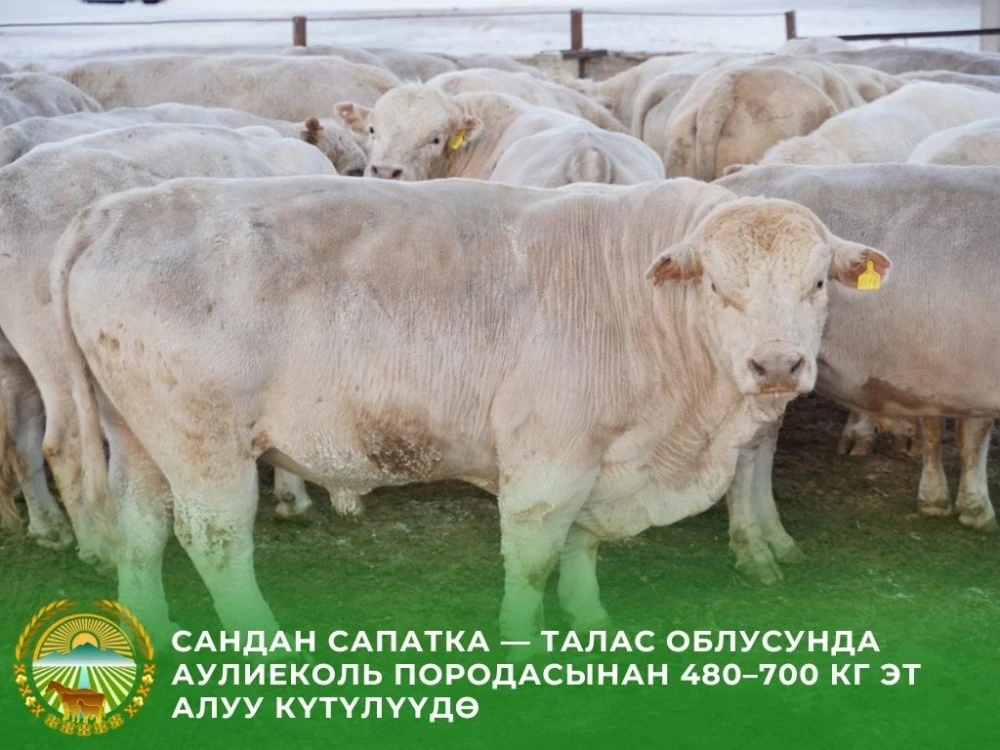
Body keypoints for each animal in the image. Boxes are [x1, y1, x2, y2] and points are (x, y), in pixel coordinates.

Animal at [0, 124, 337, 565]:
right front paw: (293, 497)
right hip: (56, 354)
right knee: (63, 446)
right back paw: (95, 545)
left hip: (16, 362)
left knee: (21, 437)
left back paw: (47, 526)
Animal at [54, 175, 889, 643]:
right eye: (719, 285)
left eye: (818, 282)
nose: (777, 365)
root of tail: (112, 210)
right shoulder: (549, 457)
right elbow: (536, 554)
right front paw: (524, 636)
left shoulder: (598, 459)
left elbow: (582, 543)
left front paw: (589, 618)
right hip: (204, 443)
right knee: (215, 539)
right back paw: (264, 640)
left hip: (138, 435)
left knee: (141, 525)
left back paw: (154, 631)